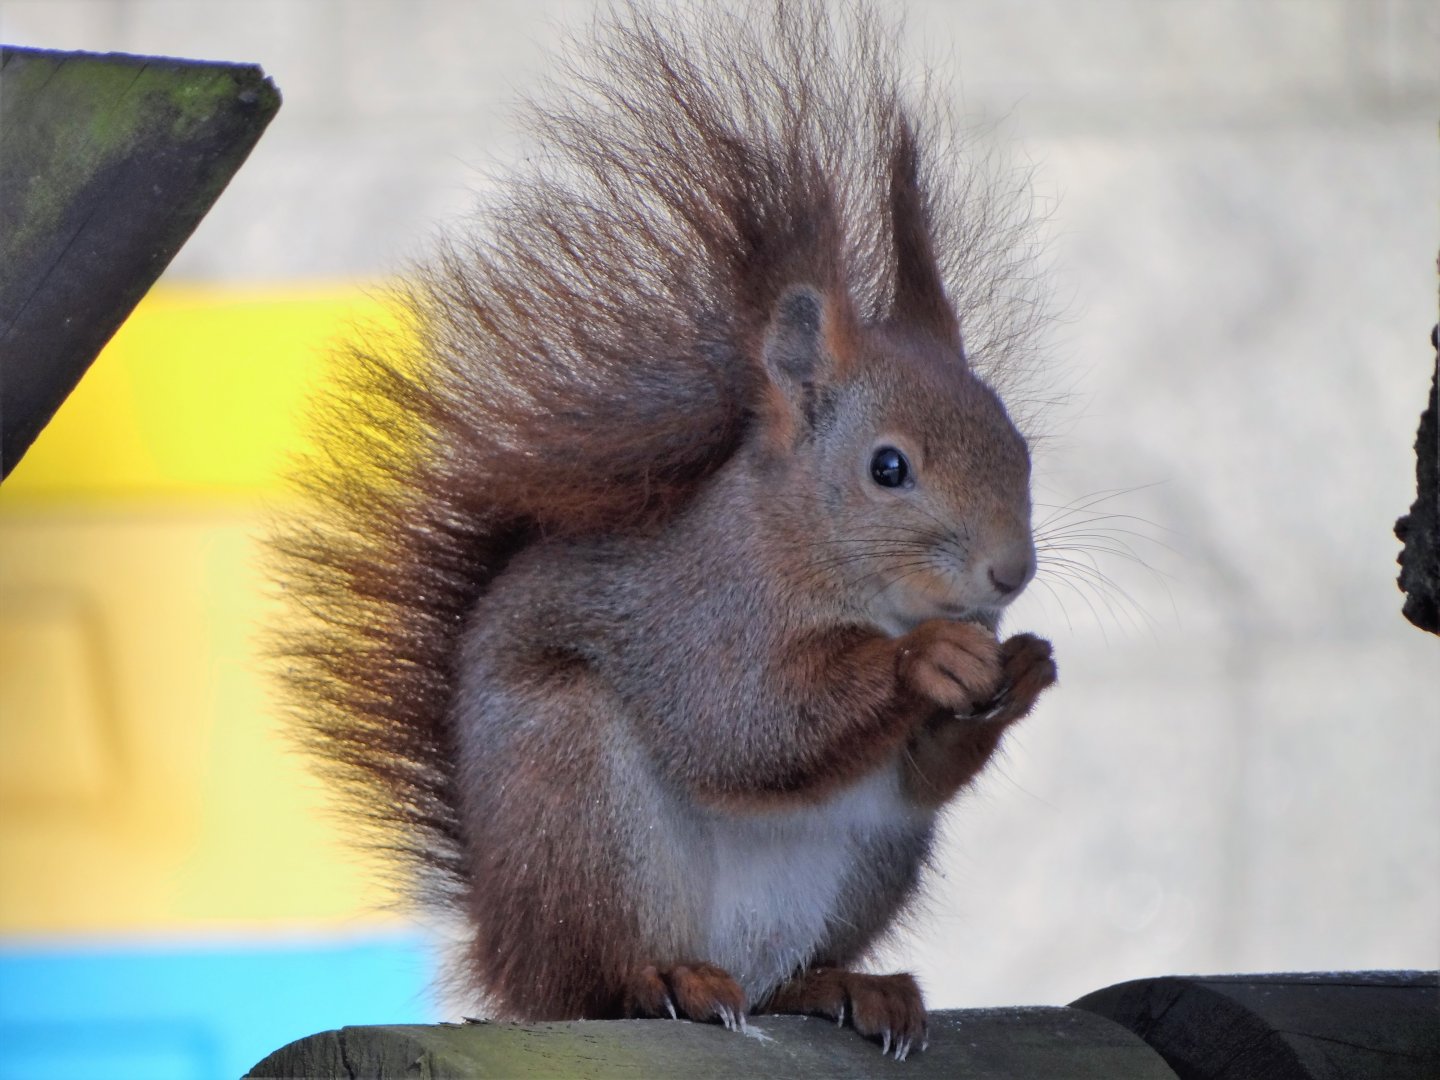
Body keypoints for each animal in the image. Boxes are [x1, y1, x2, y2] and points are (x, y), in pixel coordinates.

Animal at [274, 0, 1057, 1060]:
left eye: (1019, 444)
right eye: (887, 468)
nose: (1008, 574)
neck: (808, 552)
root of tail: (509, 949)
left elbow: (920, 769)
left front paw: (1021, 669)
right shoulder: (696, 617)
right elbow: (740, 724)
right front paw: (927, 660)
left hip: (871, 863)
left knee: (786, 976)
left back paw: (848, 986)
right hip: (577, 800)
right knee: (605, 974)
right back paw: (667, 979)